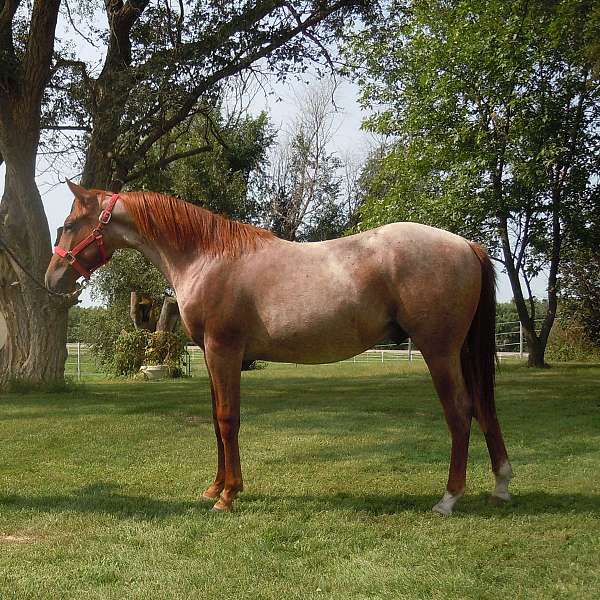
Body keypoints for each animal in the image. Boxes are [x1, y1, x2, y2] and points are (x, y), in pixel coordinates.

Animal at [45, 180, 510, 512]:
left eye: (67, 226)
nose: (52, 279)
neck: (206, 256)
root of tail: (466, 244)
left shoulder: (224, 350)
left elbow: (228, 419)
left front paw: (228, 495)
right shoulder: (212, 355)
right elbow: (216, 419)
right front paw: (215, 486)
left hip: (439, 350)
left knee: (460, 413)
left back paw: (449, 498)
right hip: (461, 351)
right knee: (483, 408)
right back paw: (501, 485)